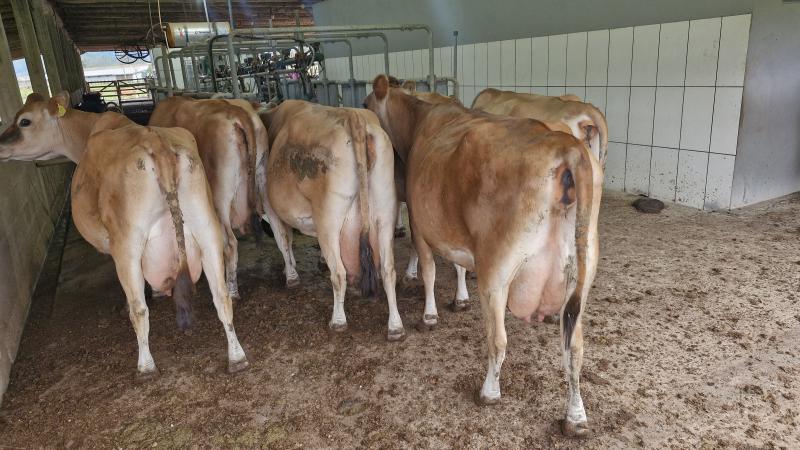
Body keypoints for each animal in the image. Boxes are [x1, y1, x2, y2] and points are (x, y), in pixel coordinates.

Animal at [0, 93, 249, 380]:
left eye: (24, 121)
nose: (0, 144)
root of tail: (155, 140)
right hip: (206, 227)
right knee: (221, 294)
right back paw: (237, 356)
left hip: (127, 243)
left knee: (139, 308)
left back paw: (146, 366)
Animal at [252, 100, 404, 341]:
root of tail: (353, 119)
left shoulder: (270, 205)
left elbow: (283, 239)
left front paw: (290, 274)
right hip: (385, 213)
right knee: (388, 270)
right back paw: (396, 327)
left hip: (328, 220)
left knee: (339, 274)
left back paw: (338, 322)